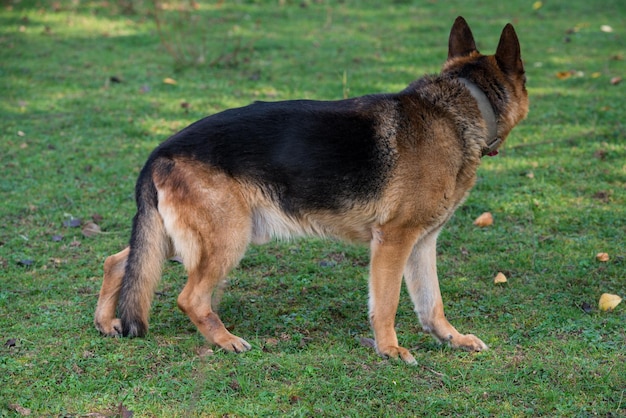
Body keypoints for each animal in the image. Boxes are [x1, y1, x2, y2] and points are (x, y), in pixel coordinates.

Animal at [95, 17, 528, 362]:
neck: (459, 106)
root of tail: (159, 152)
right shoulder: (393, 241)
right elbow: (386, 303)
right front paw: (389, 349)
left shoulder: (422, 242)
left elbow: (431, 304)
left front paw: (451, 339)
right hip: (228, 238)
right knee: (190, 298)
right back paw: (225, 340)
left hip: (172, 237)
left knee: (119, 261)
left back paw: (106, 322)